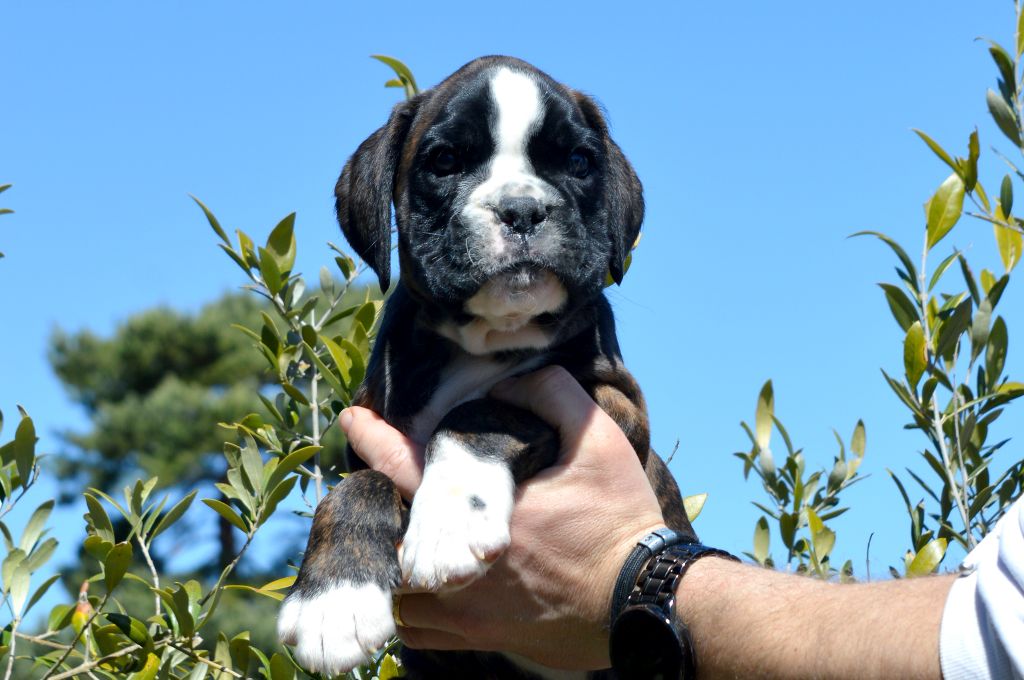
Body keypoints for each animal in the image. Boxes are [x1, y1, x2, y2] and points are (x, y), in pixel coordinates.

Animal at [277, 55, 696, 678]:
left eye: (579, 163)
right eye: (445, 161)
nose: (522, 209)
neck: (485, 340)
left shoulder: (615, 401)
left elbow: (482, 411)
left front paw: (450, 518)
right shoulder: (369, 434)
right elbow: (359, 484)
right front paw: (333, 598)